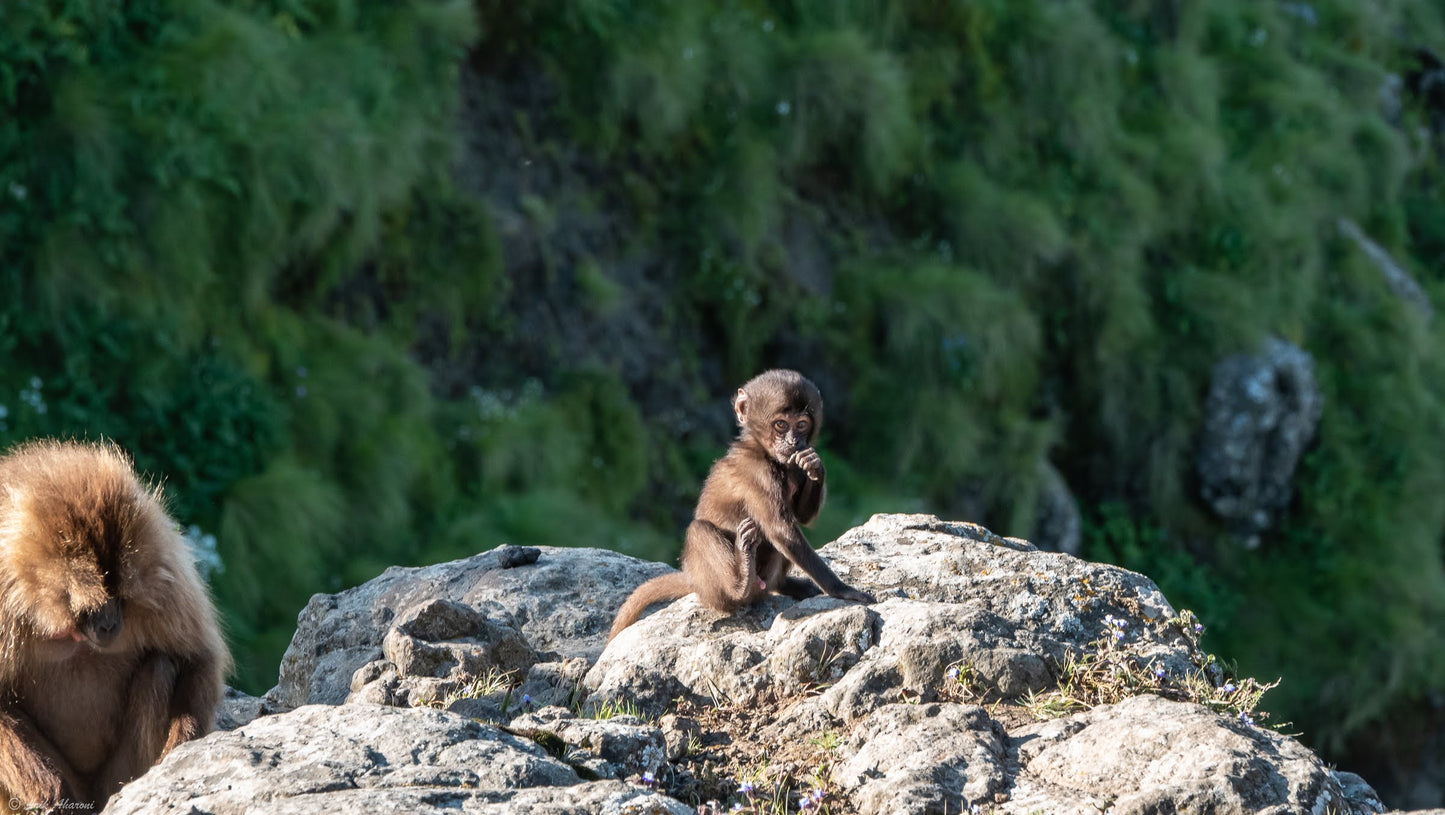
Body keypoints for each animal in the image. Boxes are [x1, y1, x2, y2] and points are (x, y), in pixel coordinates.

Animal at [0, 442, 226, 809]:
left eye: (120, 597)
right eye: (90, 607)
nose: (109, 627)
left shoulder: (163, 572)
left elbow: (197, 657)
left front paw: (179, 751)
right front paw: (50, 791)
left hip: (118, 776)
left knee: (159, 667)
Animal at [606, 369, 872, 644]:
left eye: (801, 425)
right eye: (780, 424)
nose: (793, 443)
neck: (764, 453)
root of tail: (694, 582)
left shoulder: (792, 464)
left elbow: (800, 518)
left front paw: (814, 466)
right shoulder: (756, 472)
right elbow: (781, 531)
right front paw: (843, 590)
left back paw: (782, 585)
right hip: (711, 587)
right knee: (699, 530)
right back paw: (741, 581)